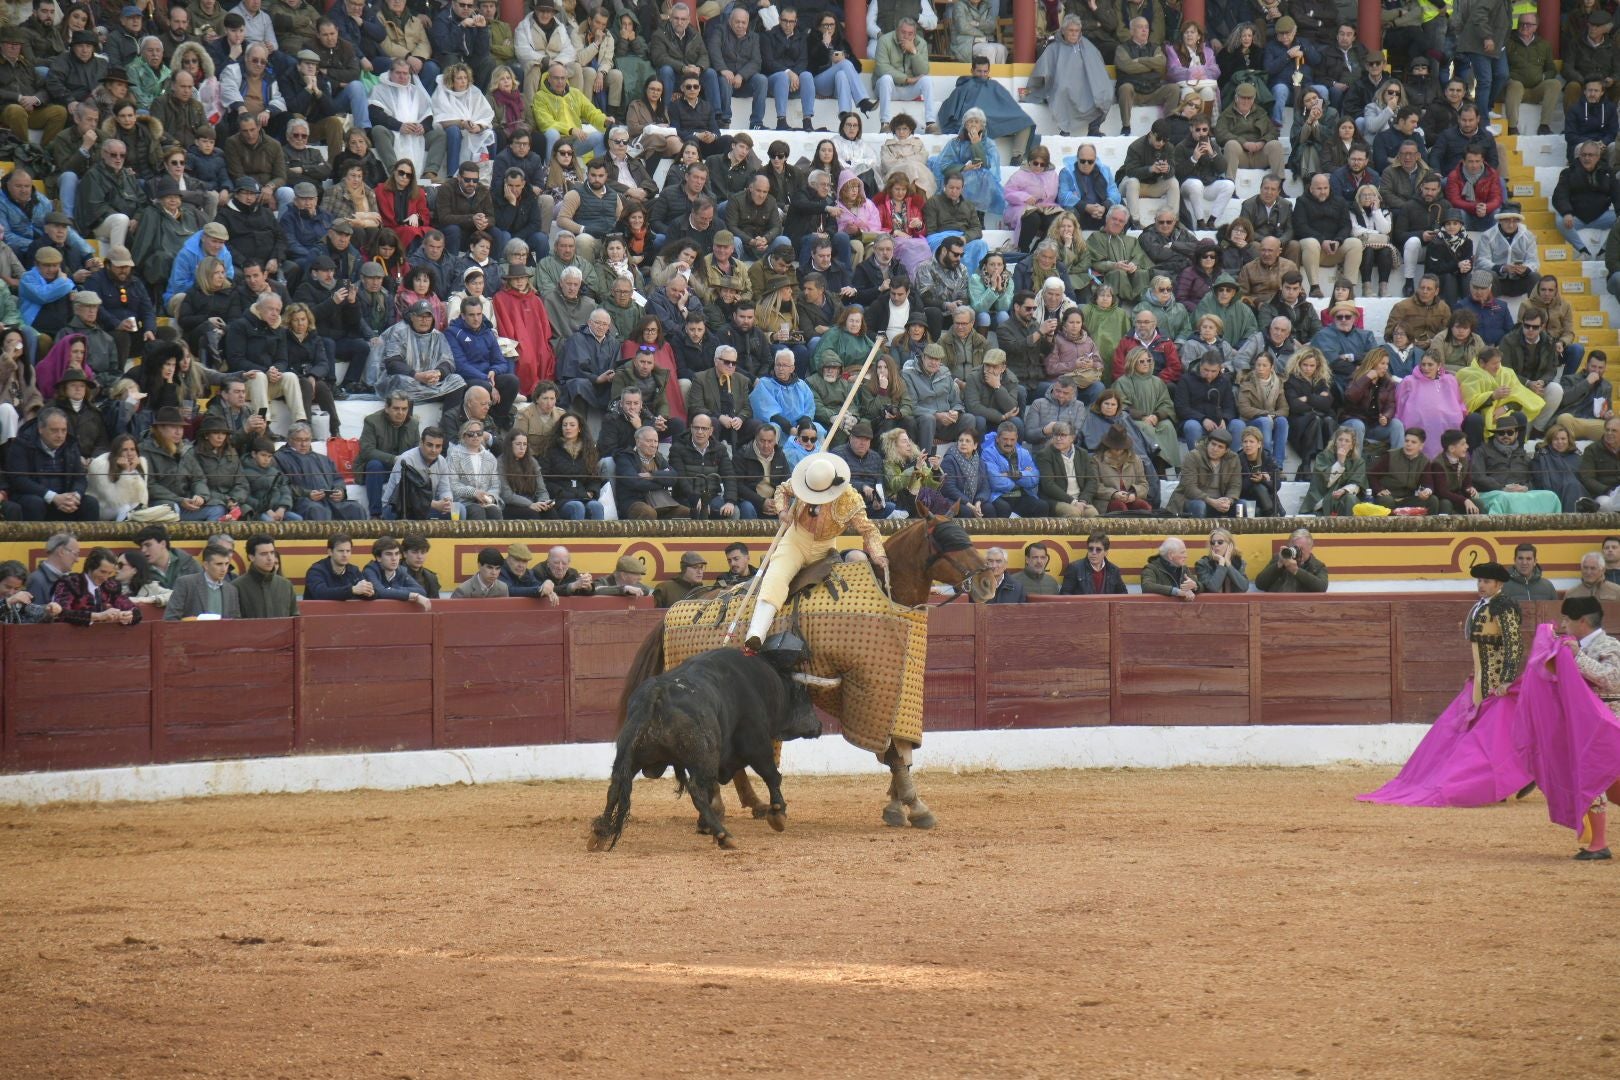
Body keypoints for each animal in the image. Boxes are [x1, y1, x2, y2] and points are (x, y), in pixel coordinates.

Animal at [586, 650, 816, 854]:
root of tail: (657, 694)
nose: (818, 725)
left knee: (615, 786)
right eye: (804, 695)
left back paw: (599, 835)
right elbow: (772, 776)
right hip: (705, 759)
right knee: (697, 790)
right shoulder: (755, 742)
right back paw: (724, 836)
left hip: (629, 756)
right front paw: (778, 814)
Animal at [612, 511, 978, 835]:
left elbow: (899, 750)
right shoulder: (868, 692)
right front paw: (914, 807)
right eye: (947, 540)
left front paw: (899, 805)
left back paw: (753, 804)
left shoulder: (897, 693)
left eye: (965, 536)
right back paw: (720, 809)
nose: (986, 579)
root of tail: (679, 606)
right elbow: (893, 754)